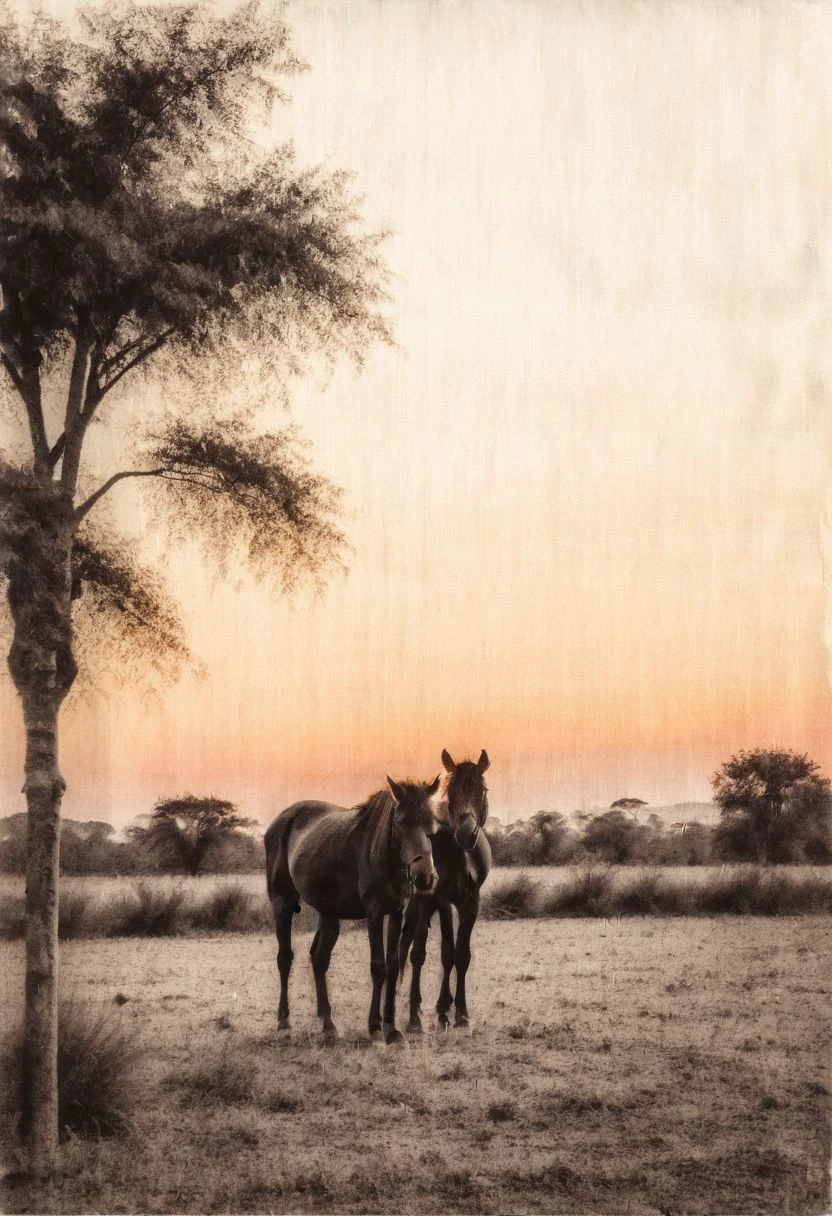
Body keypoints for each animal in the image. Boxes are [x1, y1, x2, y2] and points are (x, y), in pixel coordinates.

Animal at [266, 778, 442, 1045]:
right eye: (401, 822)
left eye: (431, 823)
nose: (425, 877)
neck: (386, 857)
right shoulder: (375, 913)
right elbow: (378, 967)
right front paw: (375, 1027)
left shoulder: (396, 913)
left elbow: (393, 966)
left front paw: (392, 1029)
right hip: (282, 903)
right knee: (285, 958)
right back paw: (284, 1021)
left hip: (329, 915)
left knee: (319, 960)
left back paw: (328, 1024)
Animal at [398, 744, 491, 1031]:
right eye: (451, 792)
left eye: (482, 790)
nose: (467, 835)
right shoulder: (438, 901)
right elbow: (430, 954)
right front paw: (422, 1016)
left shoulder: (470, 902)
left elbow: (460, 955)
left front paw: (459, 1012)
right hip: (421, 906)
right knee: (409, 950)